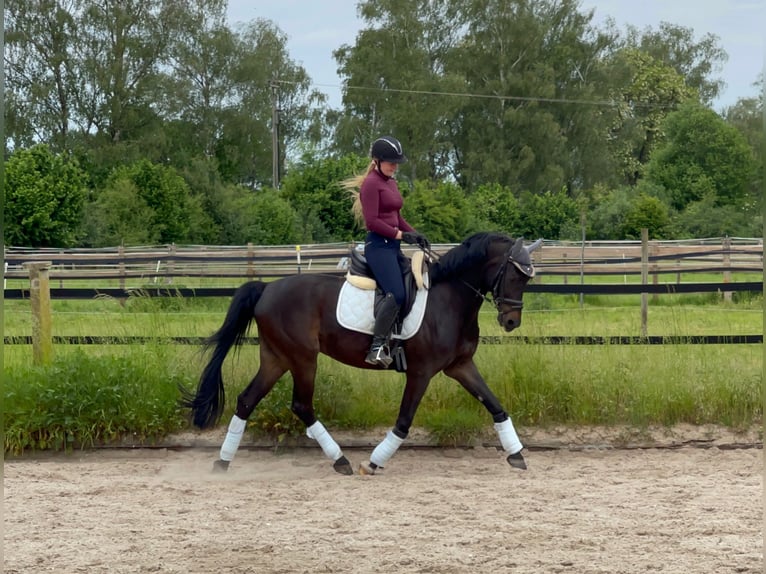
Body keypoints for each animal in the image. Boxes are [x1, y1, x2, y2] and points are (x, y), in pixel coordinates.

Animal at [180, 233, 544, 476]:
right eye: (515, 274)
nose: (511, 322)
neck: (450, 298)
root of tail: (267, 287)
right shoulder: (421, 371)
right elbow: (404, 421)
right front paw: (374, 462)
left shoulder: (460, 366)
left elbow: (495, 406)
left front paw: (517, 455)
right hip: (302, 358)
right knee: (301, 405)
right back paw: (340, 460)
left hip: (276, 358)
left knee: (246, 400)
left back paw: (223, 462)